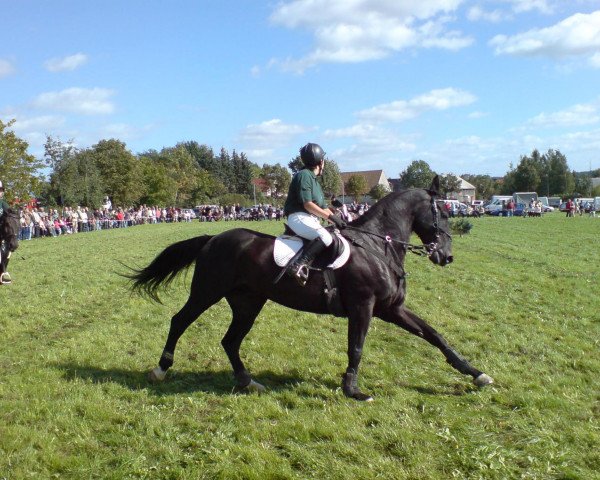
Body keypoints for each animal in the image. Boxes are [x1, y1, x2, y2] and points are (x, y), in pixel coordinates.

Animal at [131, 177, 492, 402]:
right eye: (443, 212)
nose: (446, 256)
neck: (378, 247)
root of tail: (213, 238)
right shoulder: (363, 307)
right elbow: (356, 348)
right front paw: (353, 390)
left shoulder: (391, 309)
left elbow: (434, 335)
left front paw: (475, 374)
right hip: (207, 291)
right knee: (180, 321)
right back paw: (161, 369)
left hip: (248, 302)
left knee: (230, 341)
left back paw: (248, 382)